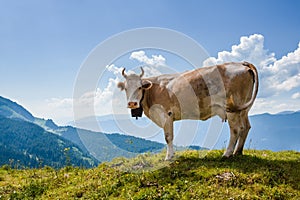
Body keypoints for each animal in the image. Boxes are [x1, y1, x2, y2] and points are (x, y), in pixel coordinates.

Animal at [117, 61, 258, 160]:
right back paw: (238, 152)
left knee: (236, 129)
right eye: (125, 88)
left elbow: (168, 137)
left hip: (232, 108)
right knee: (246, 127)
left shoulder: (167, 114)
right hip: (244, 108)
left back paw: (227, 154)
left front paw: (168, 157)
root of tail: (241, 63)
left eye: (140, 87)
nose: (132, 103)